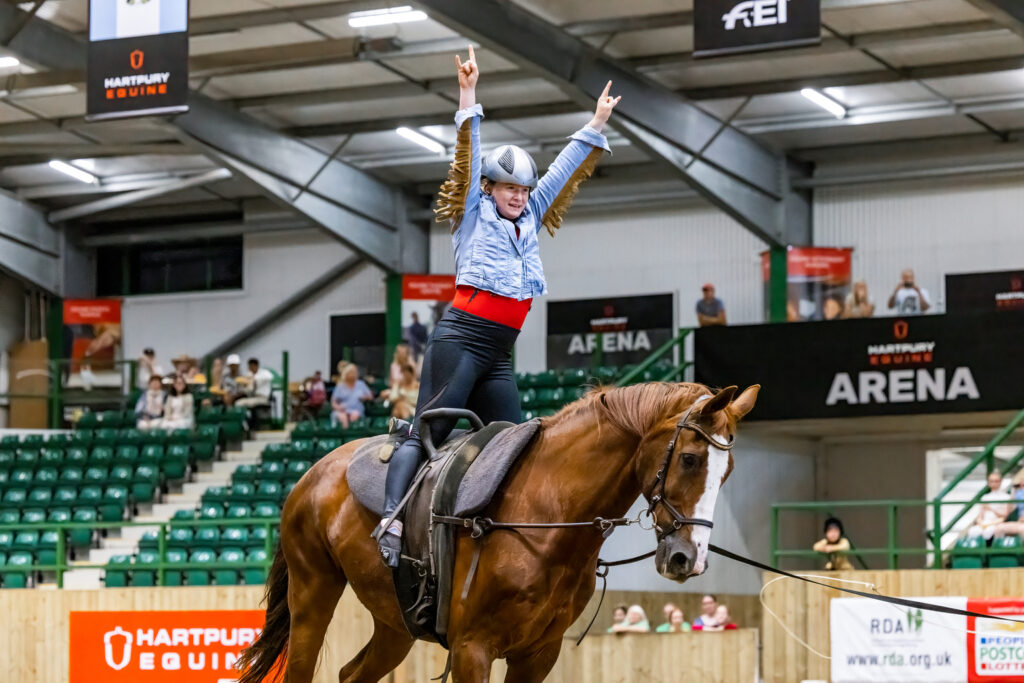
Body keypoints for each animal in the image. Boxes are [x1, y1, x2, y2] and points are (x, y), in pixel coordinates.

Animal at [235, 382, 757, 679]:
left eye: (728, 471)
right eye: (689, 459)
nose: (688, 558)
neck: (545, 516)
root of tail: (312, 473)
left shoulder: (538, 655)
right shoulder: (473, 650)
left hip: (394, 623)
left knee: (351, 673)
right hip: (313, 597)